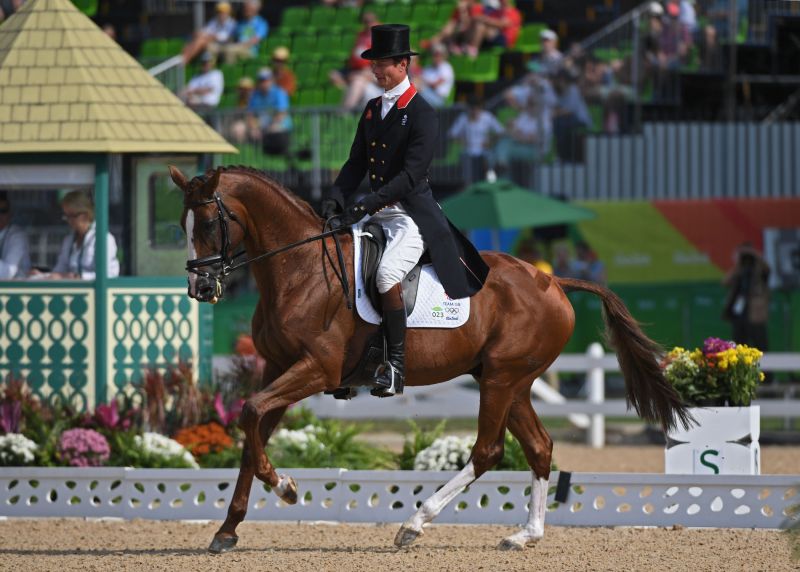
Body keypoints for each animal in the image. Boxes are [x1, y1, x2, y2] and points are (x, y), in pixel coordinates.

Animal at [172, 165, 692, 556]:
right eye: (182, 227)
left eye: (210, 224)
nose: (200, 288)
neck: (299, 271)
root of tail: (554, 282)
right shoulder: (277, 369)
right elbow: (252, 428)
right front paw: (228, 530)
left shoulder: (315, 370)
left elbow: (251, 413)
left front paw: (286, 488)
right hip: (511, 381)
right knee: (539, 446)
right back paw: (524, 535)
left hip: (501, 379)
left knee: (488, 451)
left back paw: (415, 523)